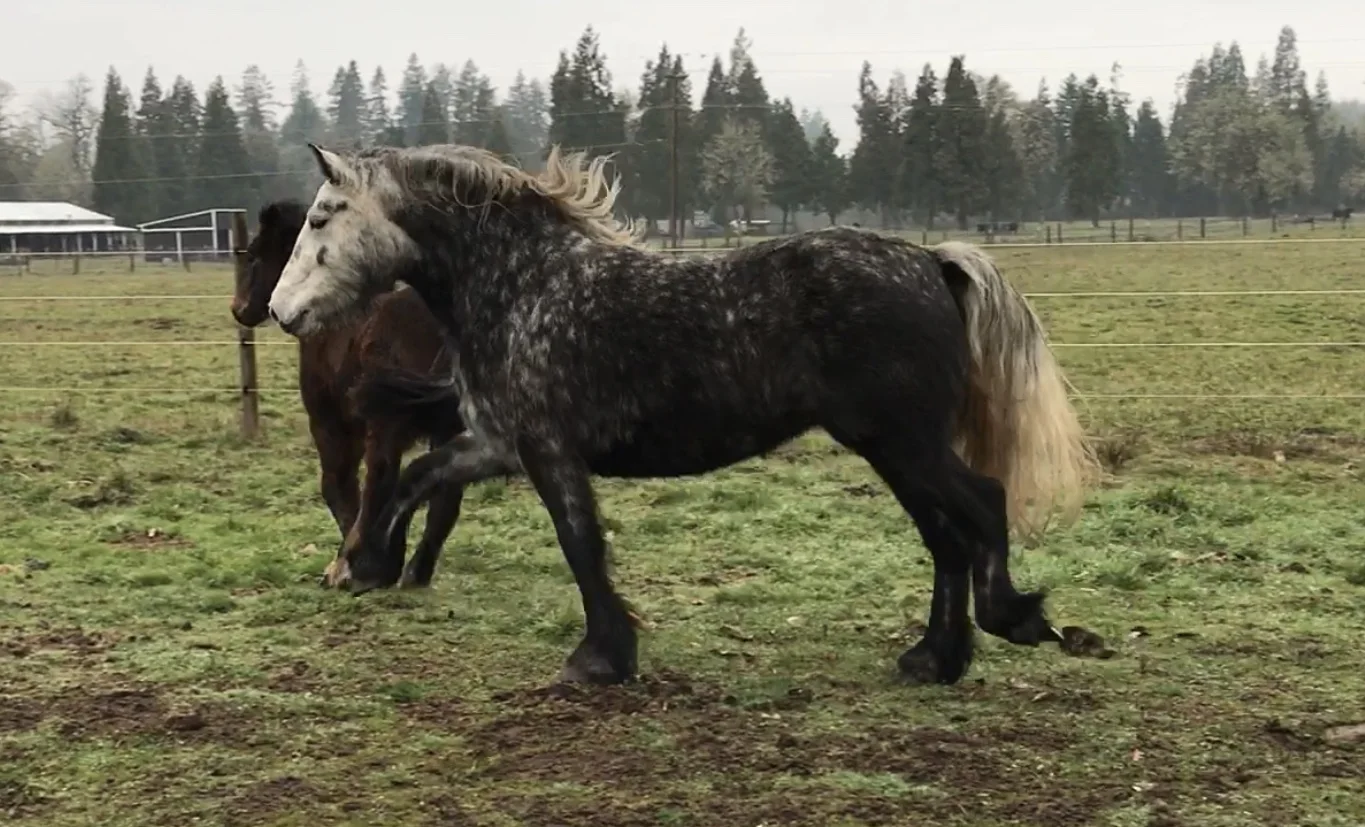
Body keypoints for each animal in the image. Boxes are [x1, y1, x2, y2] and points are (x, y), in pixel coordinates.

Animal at [232, 199, 467, 590]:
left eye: (252, 256)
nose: (239, 309)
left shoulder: (331, 421)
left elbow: (338, 484)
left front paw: (354, 561)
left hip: (388, 422)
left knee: (382, 482)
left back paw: (357, 569)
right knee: (442, 491)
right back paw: (413, 572)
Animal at [266, 142, 1098, 687]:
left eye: (323, 217)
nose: (280, 310)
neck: (526, 288)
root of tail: (929, 260)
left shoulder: (546, 448)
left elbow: (579, 546)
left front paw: (599, 659)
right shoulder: (499, 441)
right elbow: (418, 477)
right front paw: (368, 563)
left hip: (903, 442)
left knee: (980, 506)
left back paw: (1013, 620)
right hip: (890, 448)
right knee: (946, 539)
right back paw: (934, 659)